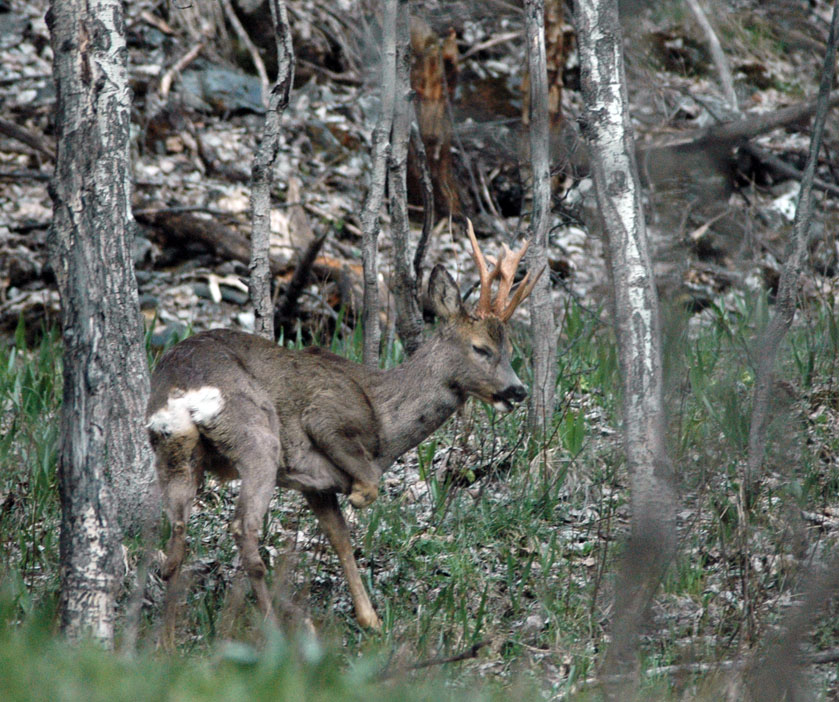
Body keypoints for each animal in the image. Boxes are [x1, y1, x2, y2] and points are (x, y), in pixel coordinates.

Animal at [146, 221, 544, 644]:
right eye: (481, 348)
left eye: (510, 348)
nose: (517, 390)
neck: (384, 419)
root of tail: (183, 387)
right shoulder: (325, 418)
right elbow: (367, 485)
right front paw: (357, 497)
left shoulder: (314, 485)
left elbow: (341, 540)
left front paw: (371, 619)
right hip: (259, 438)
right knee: (244, 531)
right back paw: (277, 629)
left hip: (174, 449)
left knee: (176, 544)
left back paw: (167, 643)